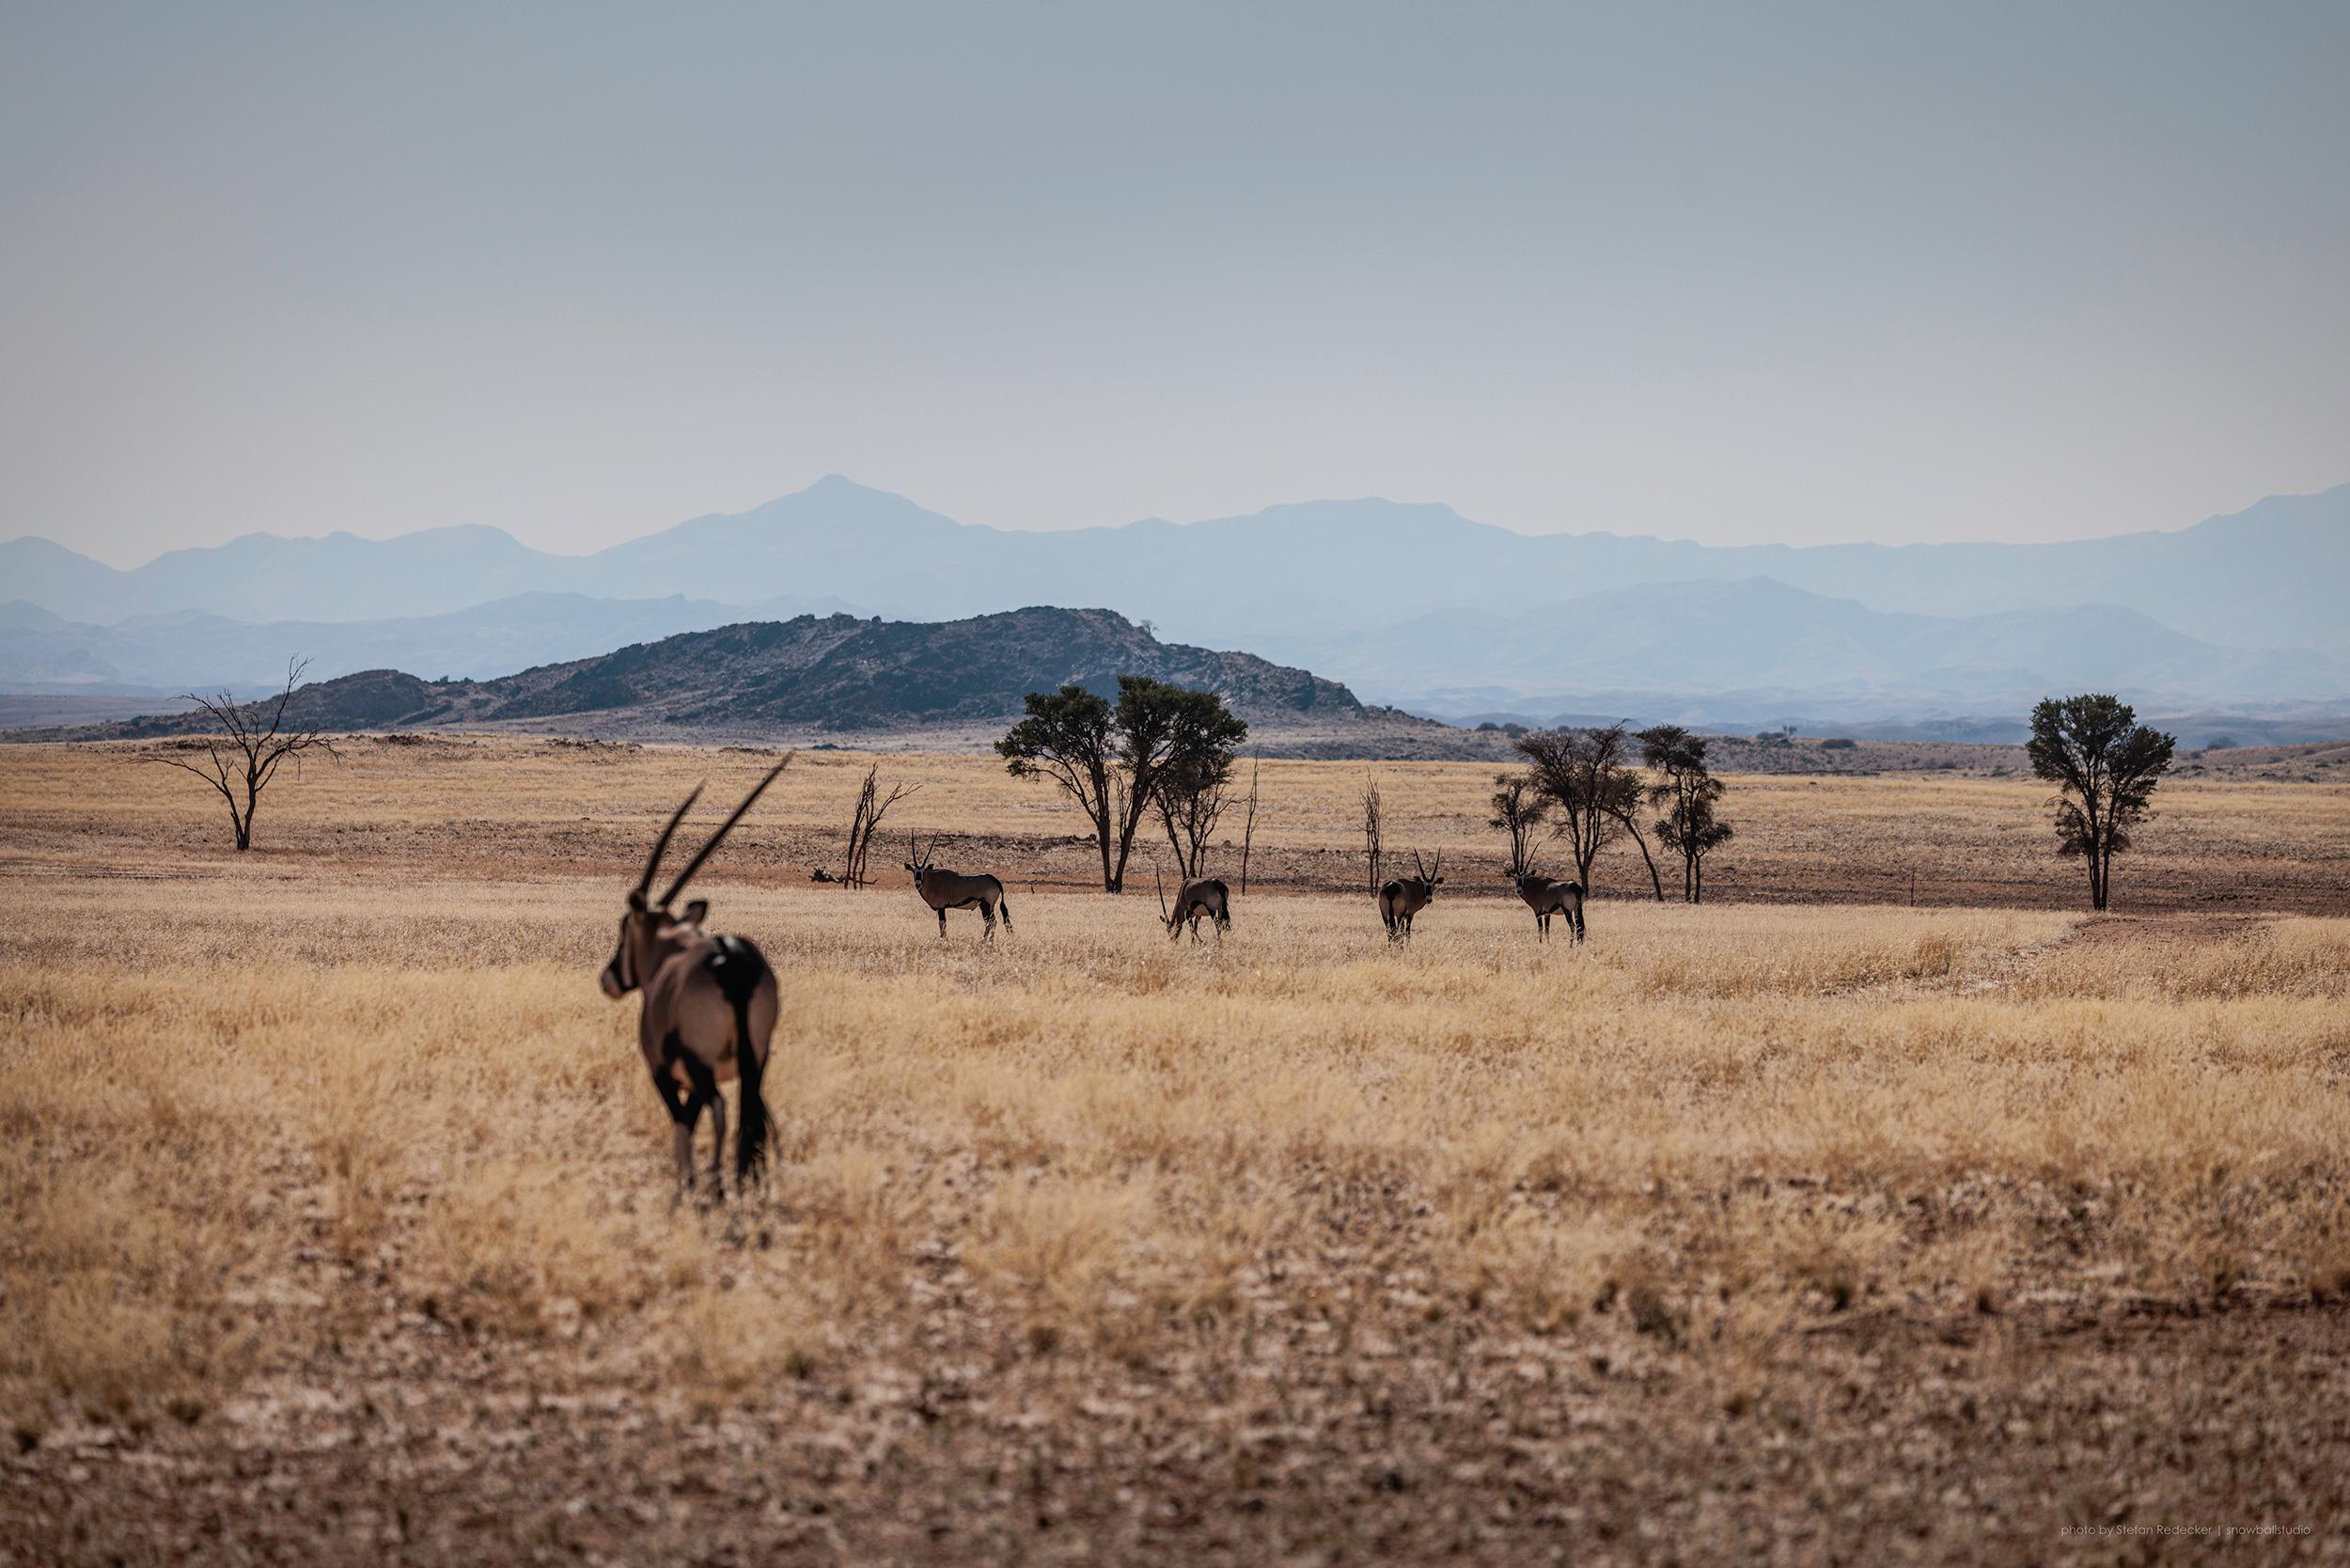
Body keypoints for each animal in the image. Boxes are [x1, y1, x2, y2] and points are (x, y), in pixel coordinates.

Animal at [600, 760, 789, 1196]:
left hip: (700, 1063)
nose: (609, 978)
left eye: (624, 929)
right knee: (752, 1113)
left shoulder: (663, 1071)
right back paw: (745, 1181)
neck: (669, 949)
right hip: (756, 1059)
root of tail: (730, 959)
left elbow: (682, 1126)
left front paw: (686, 1181)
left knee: (720, 1108)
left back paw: (715, 1185)